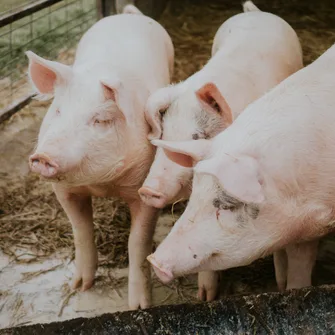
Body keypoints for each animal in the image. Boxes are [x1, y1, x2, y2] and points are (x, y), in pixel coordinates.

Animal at [25, 4, 175, 310]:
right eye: (57, 110)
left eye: (100, 120)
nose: (44, 156)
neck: (102, 184)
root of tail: (127, 15)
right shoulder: (64, 190)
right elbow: (80, 230)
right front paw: (79, 287)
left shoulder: (145, 187)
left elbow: (138, 243)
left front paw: (139, 306)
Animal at [139, 0, 318, 300]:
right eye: (164, 133)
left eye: (197, 135)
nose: (147, 190)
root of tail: (254, 12)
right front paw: (205, 297)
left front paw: (281, 284)